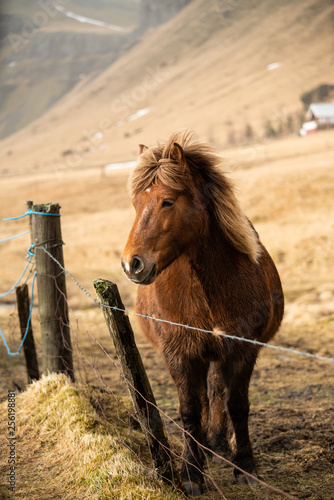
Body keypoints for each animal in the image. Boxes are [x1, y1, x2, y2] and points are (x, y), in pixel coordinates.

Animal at [121, 130, 284, 496]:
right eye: (135, 205)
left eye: (167, 202)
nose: (132, 263)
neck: (205, 289)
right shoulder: (179, 353)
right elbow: (190, 410)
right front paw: (191, 472)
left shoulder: (242, 349)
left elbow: (237, 404)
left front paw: (245, 466)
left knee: (217, 391)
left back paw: (219, 443)